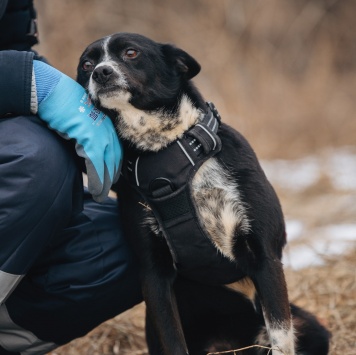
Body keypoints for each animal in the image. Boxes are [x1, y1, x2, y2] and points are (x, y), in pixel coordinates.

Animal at [76, 33, 330, 355]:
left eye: (131, 53)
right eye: (87, 64)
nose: (101, 73)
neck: (170, 156)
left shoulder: (265, 256)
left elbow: (281, 337)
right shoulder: (154, 274)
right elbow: (173, 341)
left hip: (310, 326)